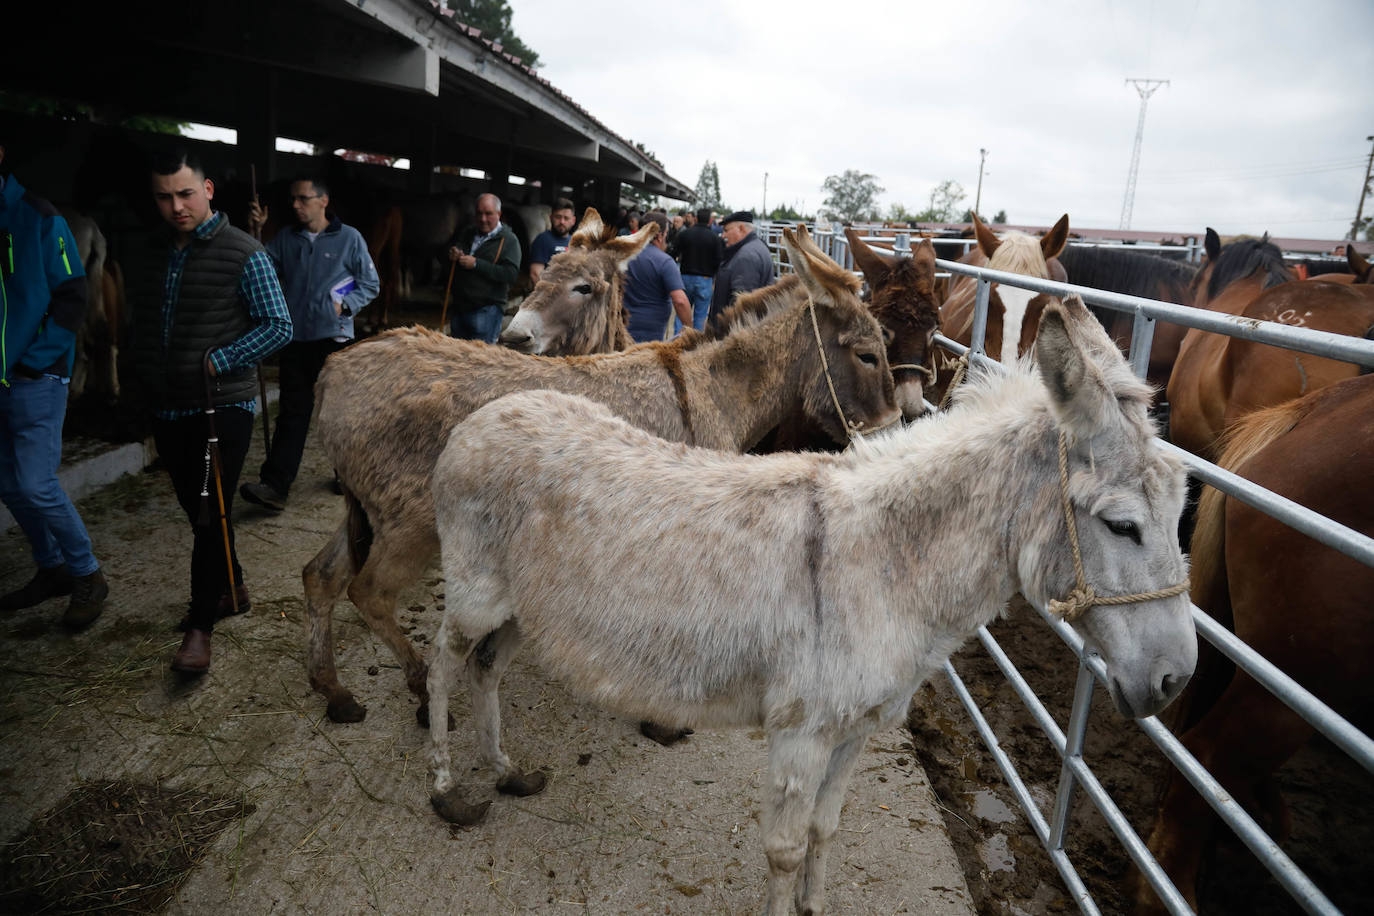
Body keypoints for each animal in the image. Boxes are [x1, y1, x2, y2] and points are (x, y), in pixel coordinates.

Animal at [303, 225, 901, 725]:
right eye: (868, 356)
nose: (895, 426)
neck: (707, 387)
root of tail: (337, 366)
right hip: (411, 522)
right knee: (369, 591)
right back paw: (421, 689)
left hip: (367, 510)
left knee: (321, 576)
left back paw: (335, 693)